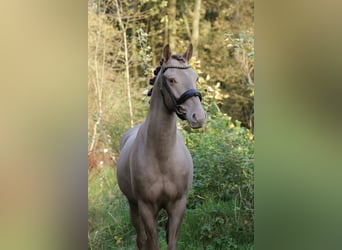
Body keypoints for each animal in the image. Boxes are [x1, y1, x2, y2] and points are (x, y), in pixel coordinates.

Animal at [117, 44, 206, 249]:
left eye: (196, 77)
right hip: (133, 205)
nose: (198, 117)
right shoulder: (146, 207)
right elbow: (152, 243)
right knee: (141, 239)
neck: (163, 157)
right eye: (171, 79)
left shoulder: (178, 206)